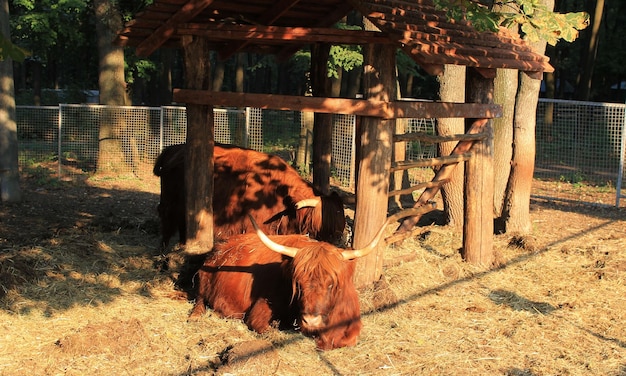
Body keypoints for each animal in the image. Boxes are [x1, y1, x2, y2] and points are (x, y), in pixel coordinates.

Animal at [188, 216, 388, 352]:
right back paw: (195, 316)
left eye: (331, 284)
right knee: (199, 300)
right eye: (298, 284)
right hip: (203, 281)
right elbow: (269, 330)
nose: (311, 320)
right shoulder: (258, 313)